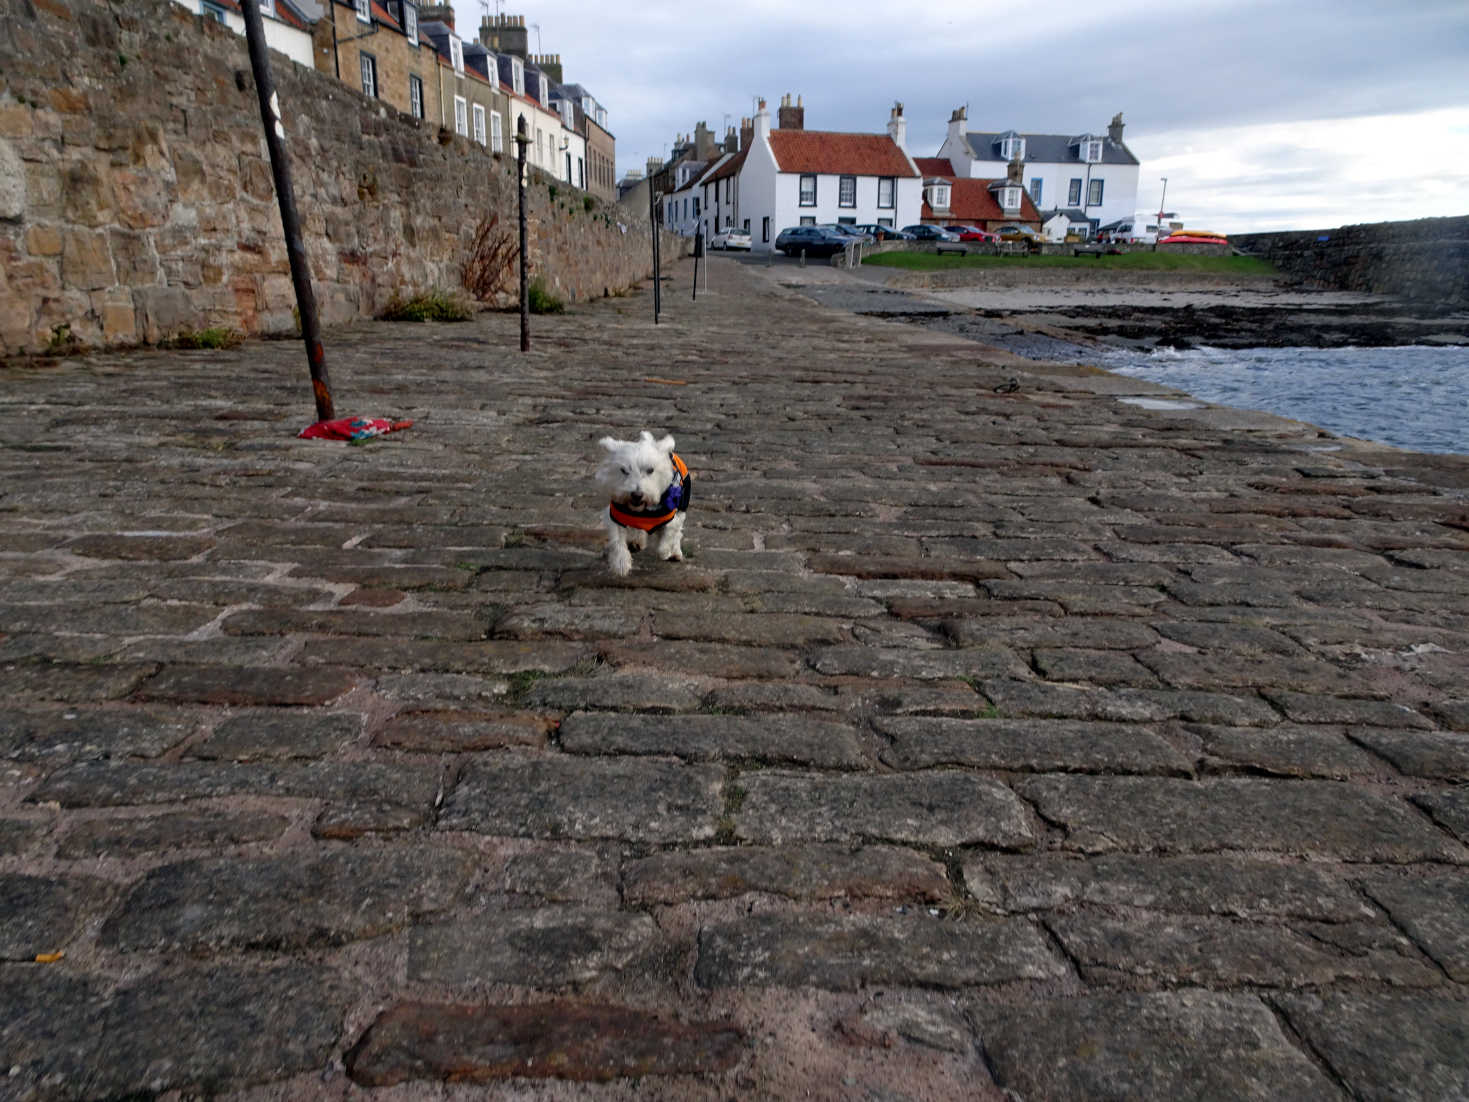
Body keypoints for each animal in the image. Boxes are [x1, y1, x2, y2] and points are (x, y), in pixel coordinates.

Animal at [593, 431, 690, 578]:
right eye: (623, 470)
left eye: (650, 470)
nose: (637, 495)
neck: (642, 510)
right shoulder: (616, 514)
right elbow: (617, 540)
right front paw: (621, 564)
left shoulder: (671, 514)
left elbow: (669, 533)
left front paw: (666, 551)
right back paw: (637, 541)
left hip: (682, 504)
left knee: (678, 533)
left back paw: (675, 552)